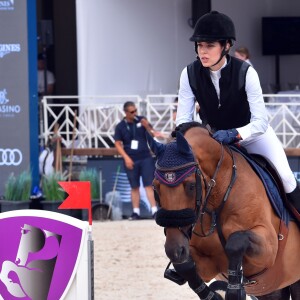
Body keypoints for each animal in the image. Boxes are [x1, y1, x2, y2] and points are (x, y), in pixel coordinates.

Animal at [149, 122, 300, 300]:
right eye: (155, 188)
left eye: (191, 186)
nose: (175, 251)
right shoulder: (206, 264)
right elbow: (186, 266)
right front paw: (214, 295)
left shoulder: (268, 248)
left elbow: (236, 242)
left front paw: (235, 291)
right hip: (273, 290)